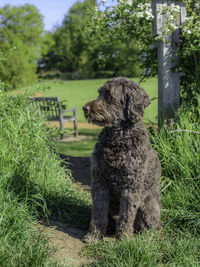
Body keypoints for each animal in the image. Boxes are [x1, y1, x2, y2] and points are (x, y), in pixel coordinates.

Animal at [81, 77, 161, 243]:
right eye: (99, 93)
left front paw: (124, 239)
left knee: (153, 226)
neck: (117, 139)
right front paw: (93, 235)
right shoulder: (99, 181)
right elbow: (98, 213)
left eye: (109, 96)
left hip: (149, 204)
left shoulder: (131, 187)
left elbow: (126, 215)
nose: (85, 108)